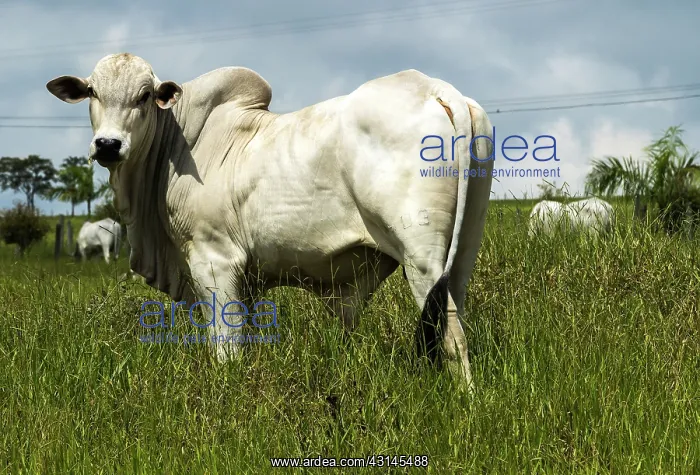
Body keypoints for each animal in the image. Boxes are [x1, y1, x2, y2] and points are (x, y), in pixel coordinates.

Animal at [46, 53, 494, 388]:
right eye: (93, 91)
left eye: (144, 96)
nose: (108, 145)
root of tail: (436, 89)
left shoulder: (215, 261)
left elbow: (226, 344)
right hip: (461, 254)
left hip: (421, 260)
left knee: (452, 337)